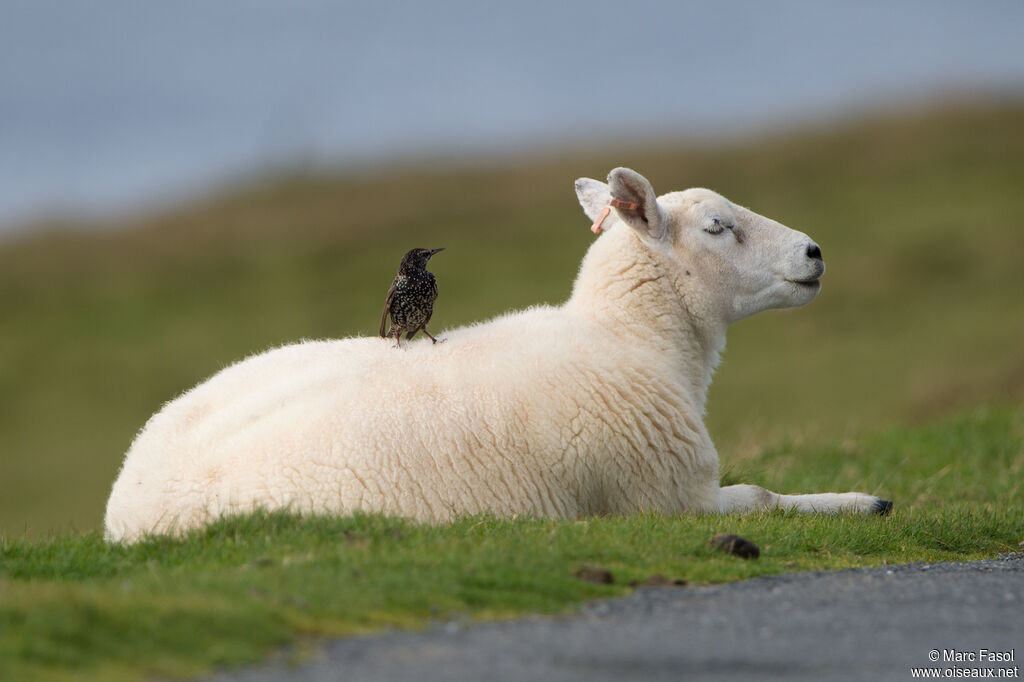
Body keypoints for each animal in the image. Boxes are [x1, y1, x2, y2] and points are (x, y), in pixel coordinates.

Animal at [101, 165, 888, 540]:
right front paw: (865, 501)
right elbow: (760, 496)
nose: (814, 253)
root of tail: (121, 503)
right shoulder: (662, 499)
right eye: (719, 228)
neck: (632, 341)